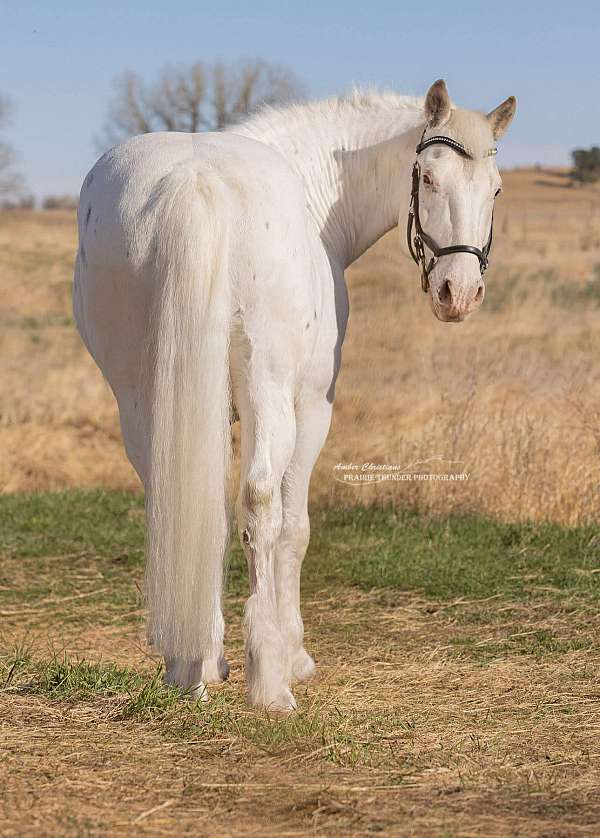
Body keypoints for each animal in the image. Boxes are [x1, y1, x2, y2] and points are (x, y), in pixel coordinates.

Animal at [73, 79, 516, 712]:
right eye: (428, 178)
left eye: (495, 188)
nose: (459, 292)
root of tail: (195, 182)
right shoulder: (312, 407)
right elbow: (292, 527)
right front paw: (293, 653)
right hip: (271, 393)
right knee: (260, 503)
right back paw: (270, 683)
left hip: (140, 396)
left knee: (181, 496)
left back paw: (189, 663)